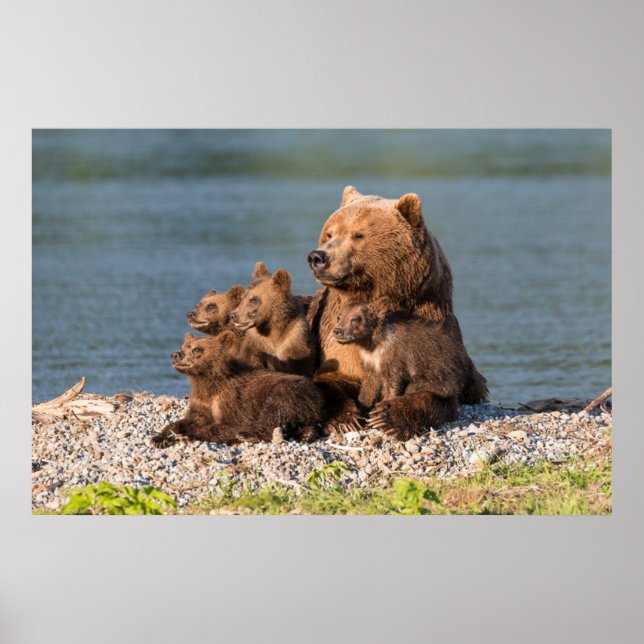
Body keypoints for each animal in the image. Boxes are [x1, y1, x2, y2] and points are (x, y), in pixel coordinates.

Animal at [150, 331, 324, 447]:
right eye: (183, 346)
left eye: (197, 349)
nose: (175, 355)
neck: (207, 380)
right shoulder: (202, 400)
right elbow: (189, 419)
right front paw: (160, 438)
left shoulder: (232, 399)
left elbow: (230, 424)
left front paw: (189, 435)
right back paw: (306, 434)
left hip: (288, 392)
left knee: (274, 415)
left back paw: (246, 435)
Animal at [333, 300, 471, 438]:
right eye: (339, 317)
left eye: (355, 319)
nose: (338, 330)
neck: (372, 343)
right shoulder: (369, 361)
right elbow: (369, 386)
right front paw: (360, 412)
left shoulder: (396, 357)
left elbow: (392, 384)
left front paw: (378, 413)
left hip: (442, 376)